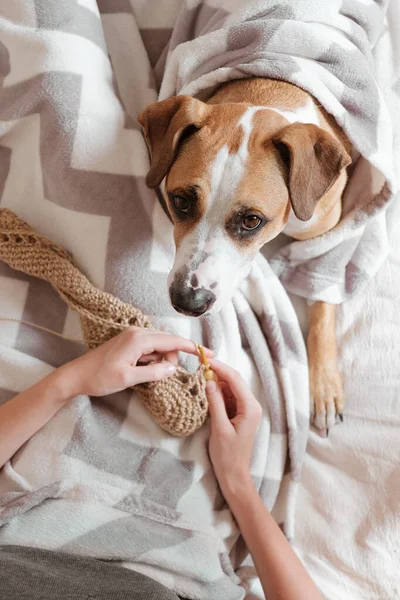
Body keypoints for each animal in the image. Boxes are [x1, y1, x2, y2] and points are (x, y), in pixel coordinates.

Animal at [139, 77, 352, 432]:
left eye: (252, 220)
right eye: (180, 201)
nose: (188, 302)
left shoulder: (330, 231)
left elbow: (322, 304)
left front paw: (324, 387)